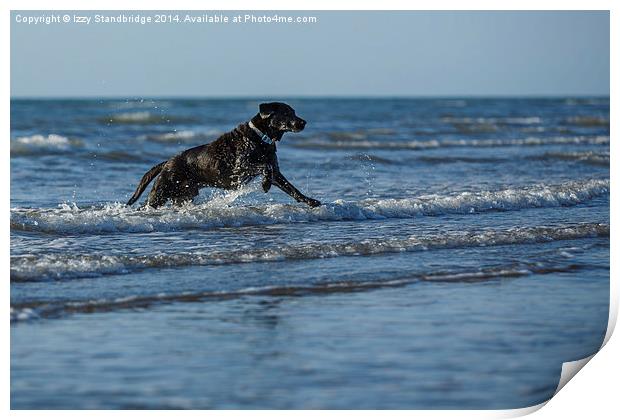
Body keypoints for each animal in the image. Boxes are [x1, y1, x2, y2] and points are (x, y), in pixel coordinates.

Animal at [125, 101, 320, 207]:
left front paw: (310, 201)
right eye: (286, 113)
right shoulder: (240, 168)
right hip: (161, 192)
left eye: (294, 112)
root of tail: (167, 162)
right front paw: (265, 185)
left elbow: (292, 189)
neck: (260, 138)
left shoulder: (277, 173)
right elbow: (265, 167)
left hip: (183, 195)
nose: (303, 122)